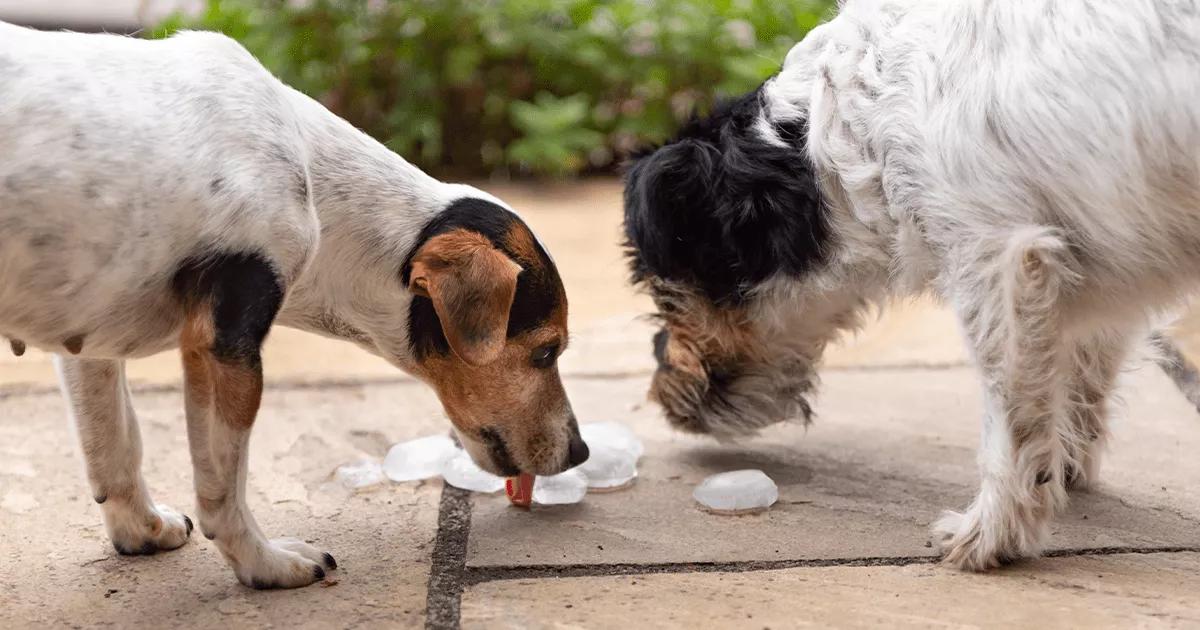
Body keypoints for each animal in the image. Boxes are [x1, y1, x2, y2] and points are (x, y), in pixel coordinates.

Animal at [0, 20, 588, 590]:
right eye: (545, 352)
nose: (580, 451)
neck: (311, 175)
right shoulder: (223, 346)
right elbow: (224, 488)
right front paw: (264, 563)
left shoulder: (87, 340)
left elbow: (115, 446)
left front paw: (140, 530)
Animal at [624, 0, 1200, 568]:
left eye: (662, 290)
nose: (656, 390)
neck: (846, 125)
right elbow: (1081, 376)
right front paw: (1064, 472)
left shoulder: (999, 261)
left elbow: (1012, 418)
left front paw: (991, 535)